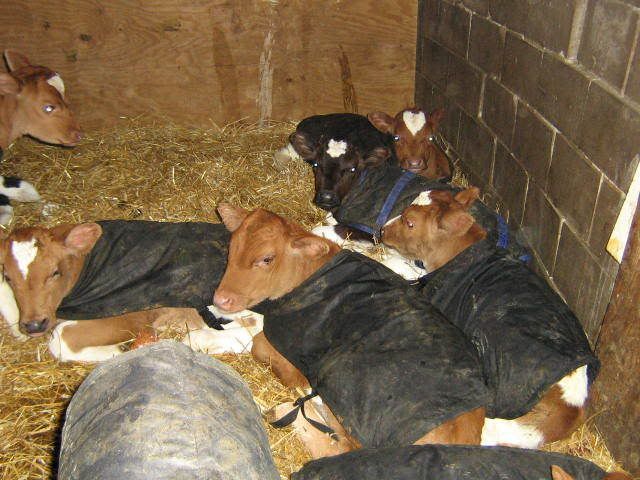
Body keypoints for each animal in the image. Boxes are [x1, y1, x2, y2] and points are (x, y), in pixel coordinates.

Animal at [213, 203, 490, 459]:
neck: (311, 273)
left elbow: (259, 346)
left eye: (267, 259)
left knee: (340, 446)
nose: (221, 299)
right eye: (232, 247)